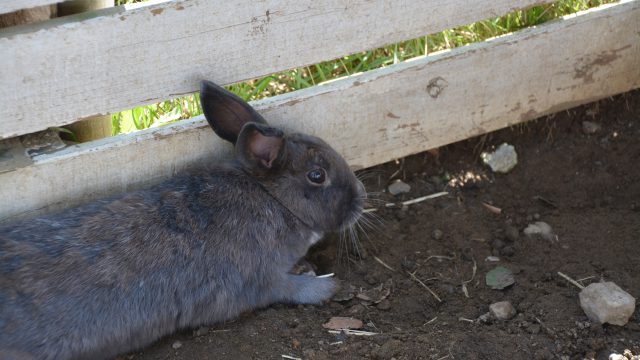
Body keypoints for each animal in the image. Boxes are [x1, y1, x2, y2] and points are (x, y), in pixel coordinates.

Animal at [0, 81, 364, 360]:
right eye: (317, 175)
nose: (361, 198)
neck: (272, 198)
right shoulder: (259, 280)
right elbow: (288, 289)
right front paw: (327, 287)